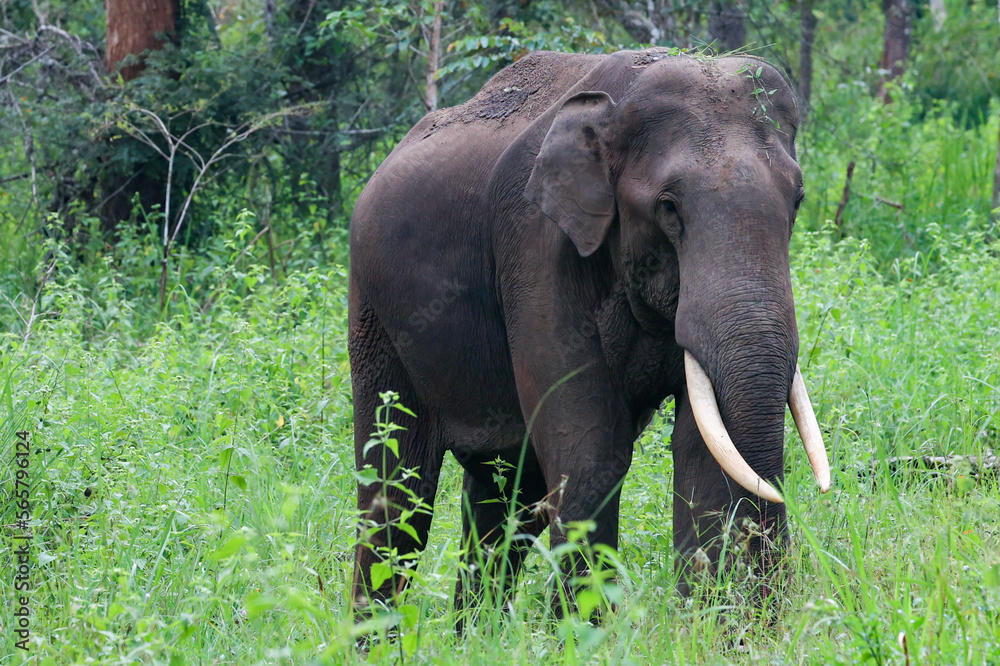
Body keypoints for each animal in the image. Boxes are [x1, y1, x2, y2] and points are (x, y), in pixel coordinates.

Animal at [347, 47, 831, 615]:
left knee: (504, 493)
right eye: (668, 207)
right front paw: (584, 629)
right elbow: (591, 450)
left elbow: (702, 449)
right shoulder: (534, 245)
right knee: (396, 490)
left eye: (797, 199)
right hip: (374, 313)